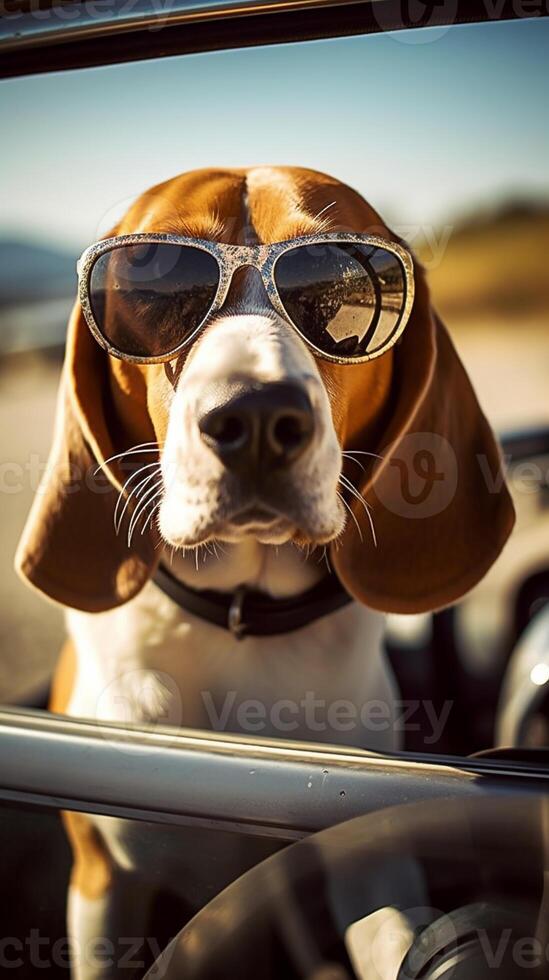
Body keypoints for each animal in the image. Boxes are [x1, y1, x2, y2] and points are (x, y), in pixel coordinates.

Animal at [17, 165, 512, 976]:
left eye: (338, 276)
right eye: (150, 283)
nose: (253, 417)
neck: (240, 625)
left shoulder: (372, 868)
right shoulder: (101, 884)